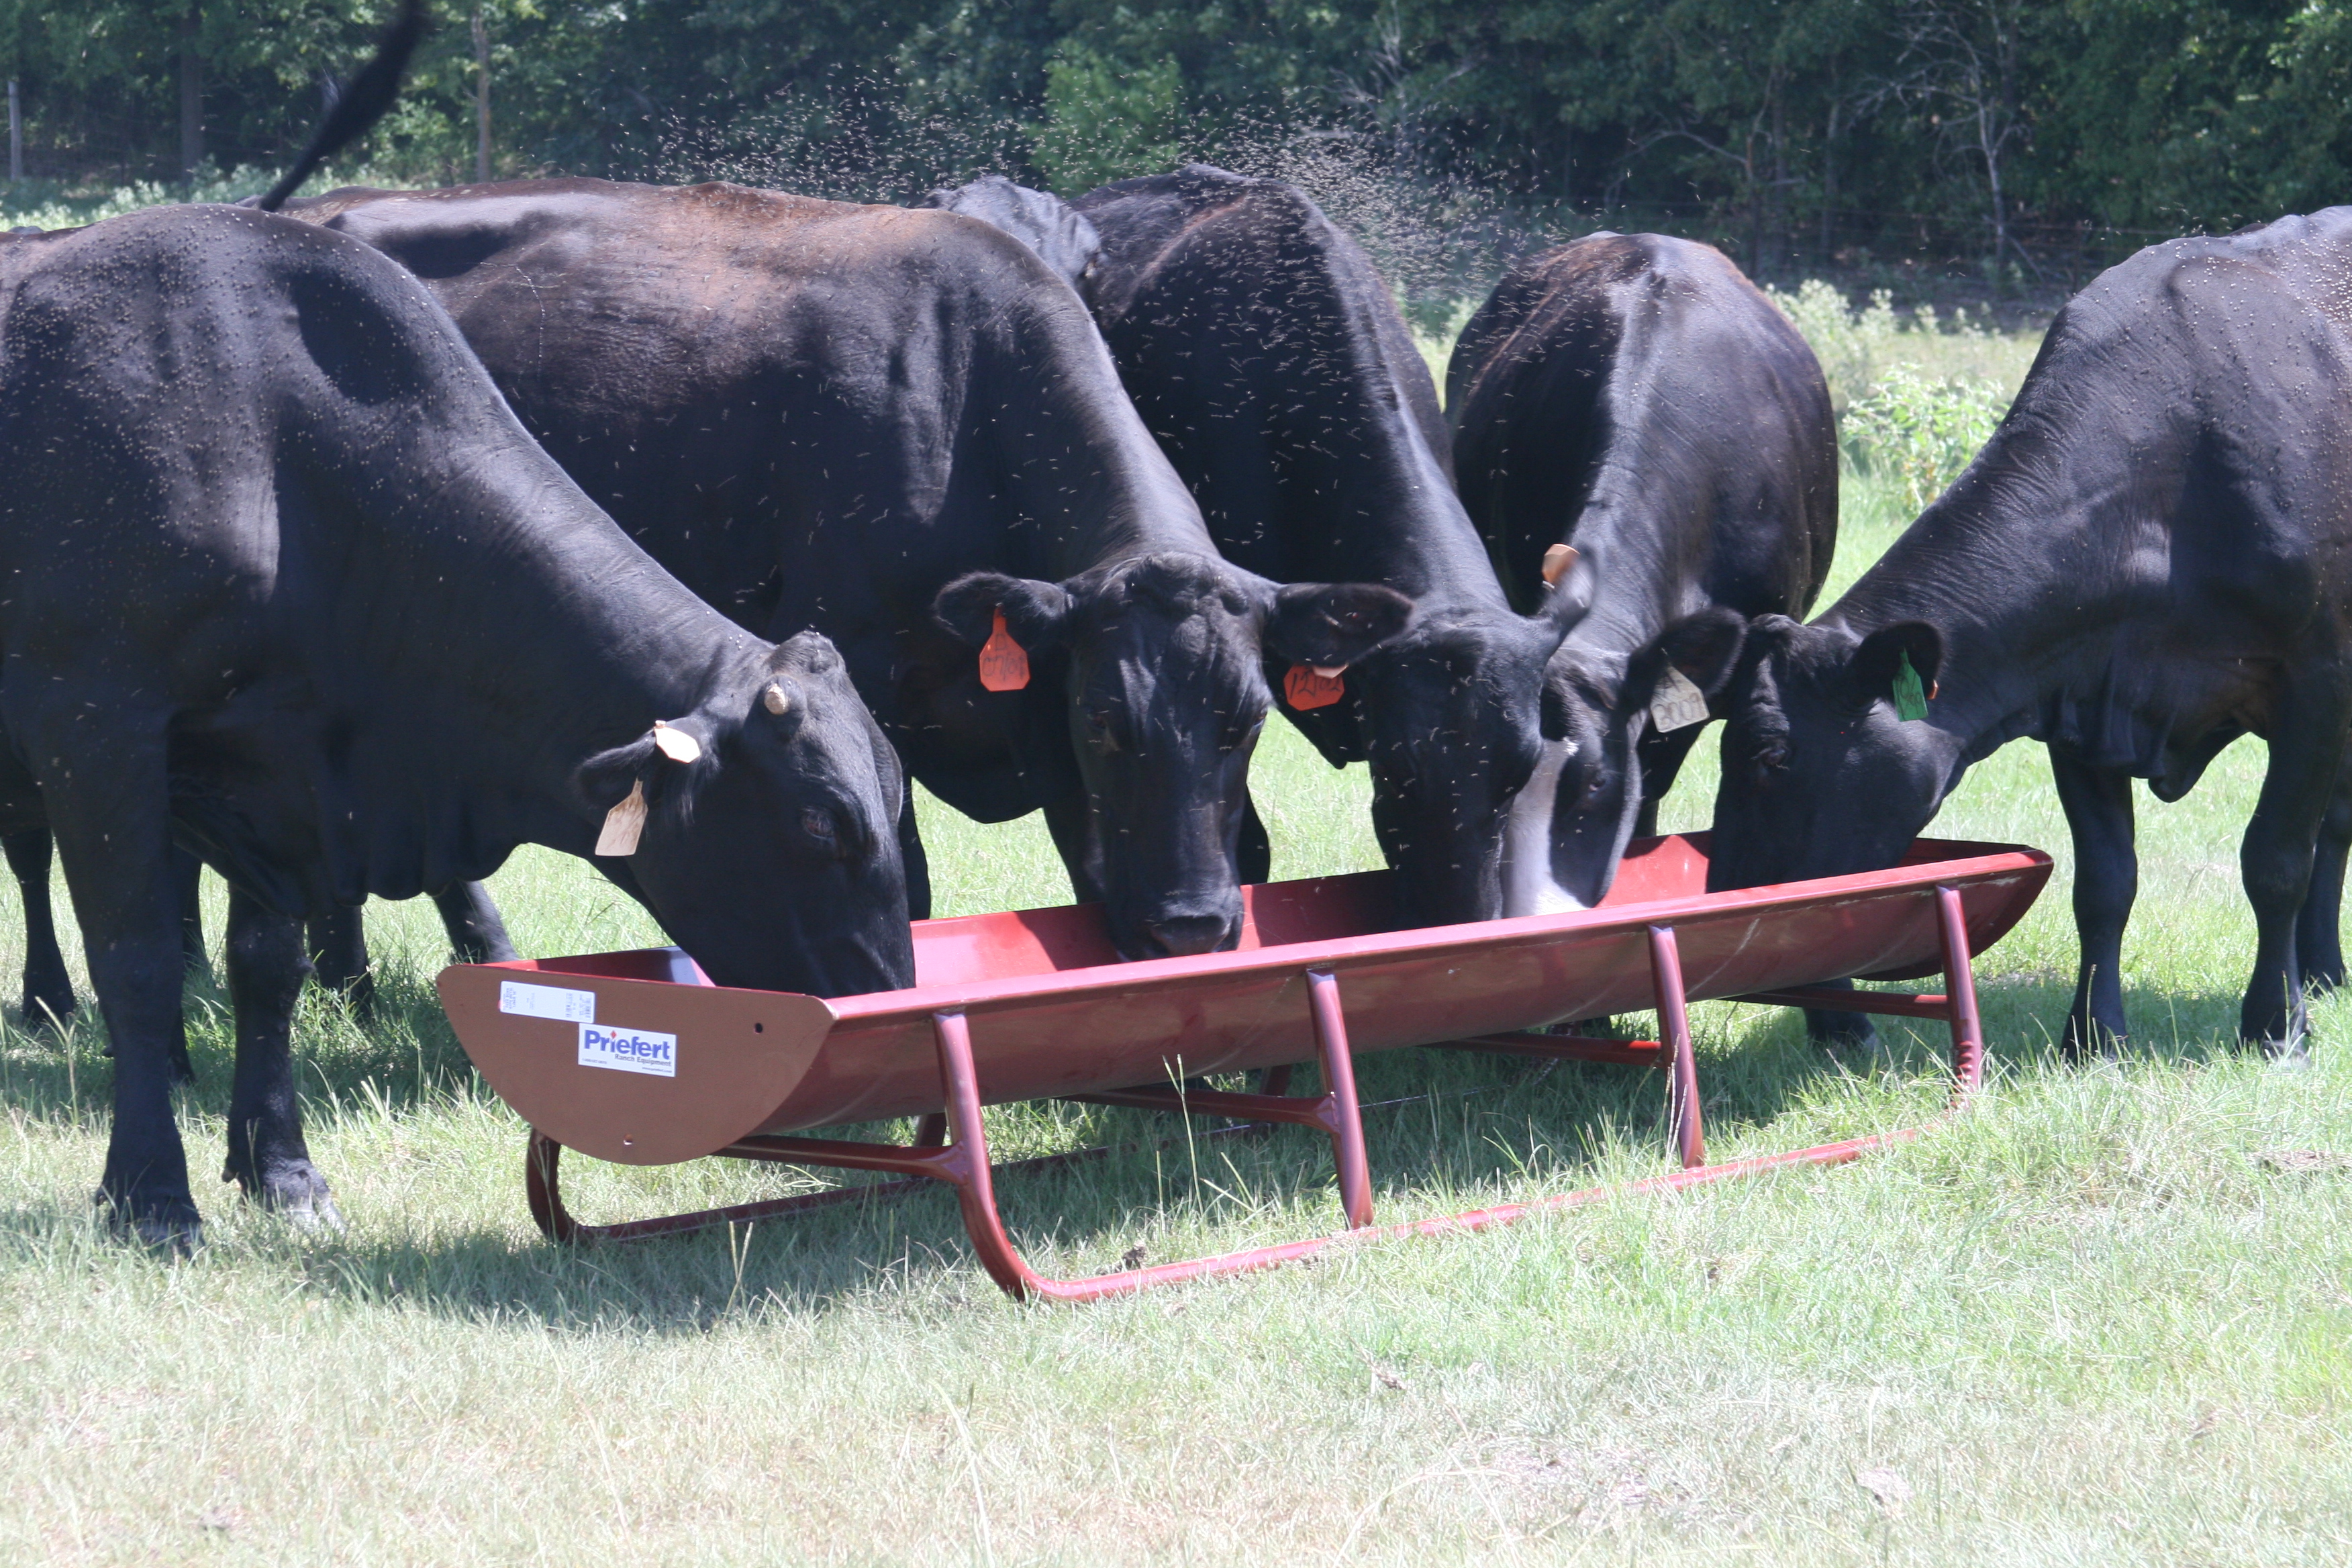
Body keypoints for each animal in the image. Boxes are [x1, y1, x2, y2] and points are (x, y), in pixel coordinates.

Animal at [0, 202, 915, 1245]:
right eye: (820, 822)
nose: (899, 1015)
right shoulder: (95, 728)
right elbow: (141, 964)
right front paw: (151, 1193)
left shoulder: (272, 780)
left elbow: (266, 971)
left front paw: (283, 1172)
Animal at [281, 178, 1413, 961]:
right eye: (1107, 721)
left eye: (1249, 720)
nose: (1192, 924)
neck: (965, 406)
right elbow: (902, 880)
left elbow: (1103, 867)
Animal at [1678, 206, 2352, 1065]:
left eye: (1769, 754)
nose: (1725, 900)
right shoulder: (2082, 695)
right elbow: (2106, 881)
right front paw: (2093, 1035)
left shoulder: (2317, 682)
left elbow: (2276, 859)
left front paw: (2277, 1025)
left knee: (2331, 826)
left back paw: (2318, 973)